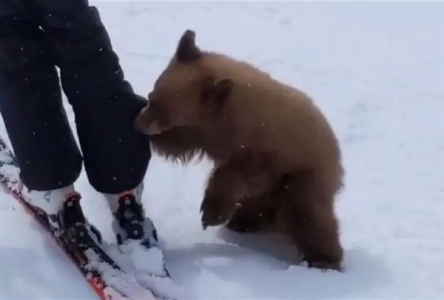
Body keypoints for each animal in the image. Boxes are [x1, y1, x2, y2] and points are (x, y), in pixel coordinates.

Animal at [134, 29, 346, 270]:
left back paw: (323, 259)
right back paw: (242, 222)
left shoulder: (263, 148)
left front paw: (210, 213)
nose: (138, 123)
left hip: (308, 175)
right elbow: (180, 144)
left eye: (165, 113)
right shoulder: (206, 130)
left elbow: (237, 174)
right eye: (152, 97)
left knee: (309, 214)